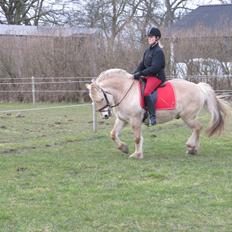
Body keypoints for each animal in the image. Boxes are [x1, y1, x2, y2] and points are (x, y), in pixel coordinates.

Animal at [86, 68, 229, 159]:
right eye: (93, 100)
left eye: (100, 99)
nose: (105, 116)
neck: (125, 91)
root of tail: (198, 87)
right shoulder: (123, 119)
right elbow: (113, 134)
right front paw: (124, 148)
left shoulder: (135, 120)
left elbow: (137, 138)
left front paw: (137, 155)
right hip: (189, 117)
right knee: (197, 128)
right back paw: (192, 149)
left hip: (187, 117)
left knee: (198, 127)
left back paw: (191, 148)